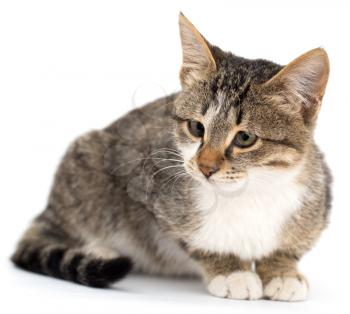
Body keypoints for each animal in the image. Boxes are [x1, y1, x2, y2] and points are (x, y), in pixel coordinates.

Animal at [11, 14, 330, 302]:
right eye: (196, 128)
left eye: (244, 138)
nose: (205, 167)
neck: (249, 191)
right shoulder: (149, 190)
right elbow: (192, 240)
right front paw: (230, 270)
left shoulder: (318, 196)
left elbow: (290, 244)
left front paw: (282, 270)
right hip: (86, 169)